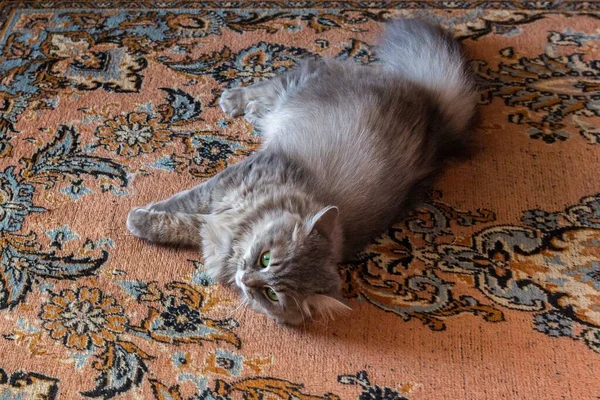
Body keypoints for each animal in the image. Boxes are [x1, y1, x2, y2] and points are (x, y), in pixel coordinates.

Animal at [126, 18, 478, 324]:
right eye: (266, 258)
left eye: (270, 293)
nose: (245, 279)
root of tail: (433, 108)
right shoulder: (231, 182)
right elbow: (182, 202)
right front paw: (139, 216)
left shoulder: (218, 221)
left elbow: (182, 224)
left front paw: (143, 221)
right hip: (300, 85)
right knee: (273, 82)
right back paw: (234, 100)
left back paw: (250, 110)